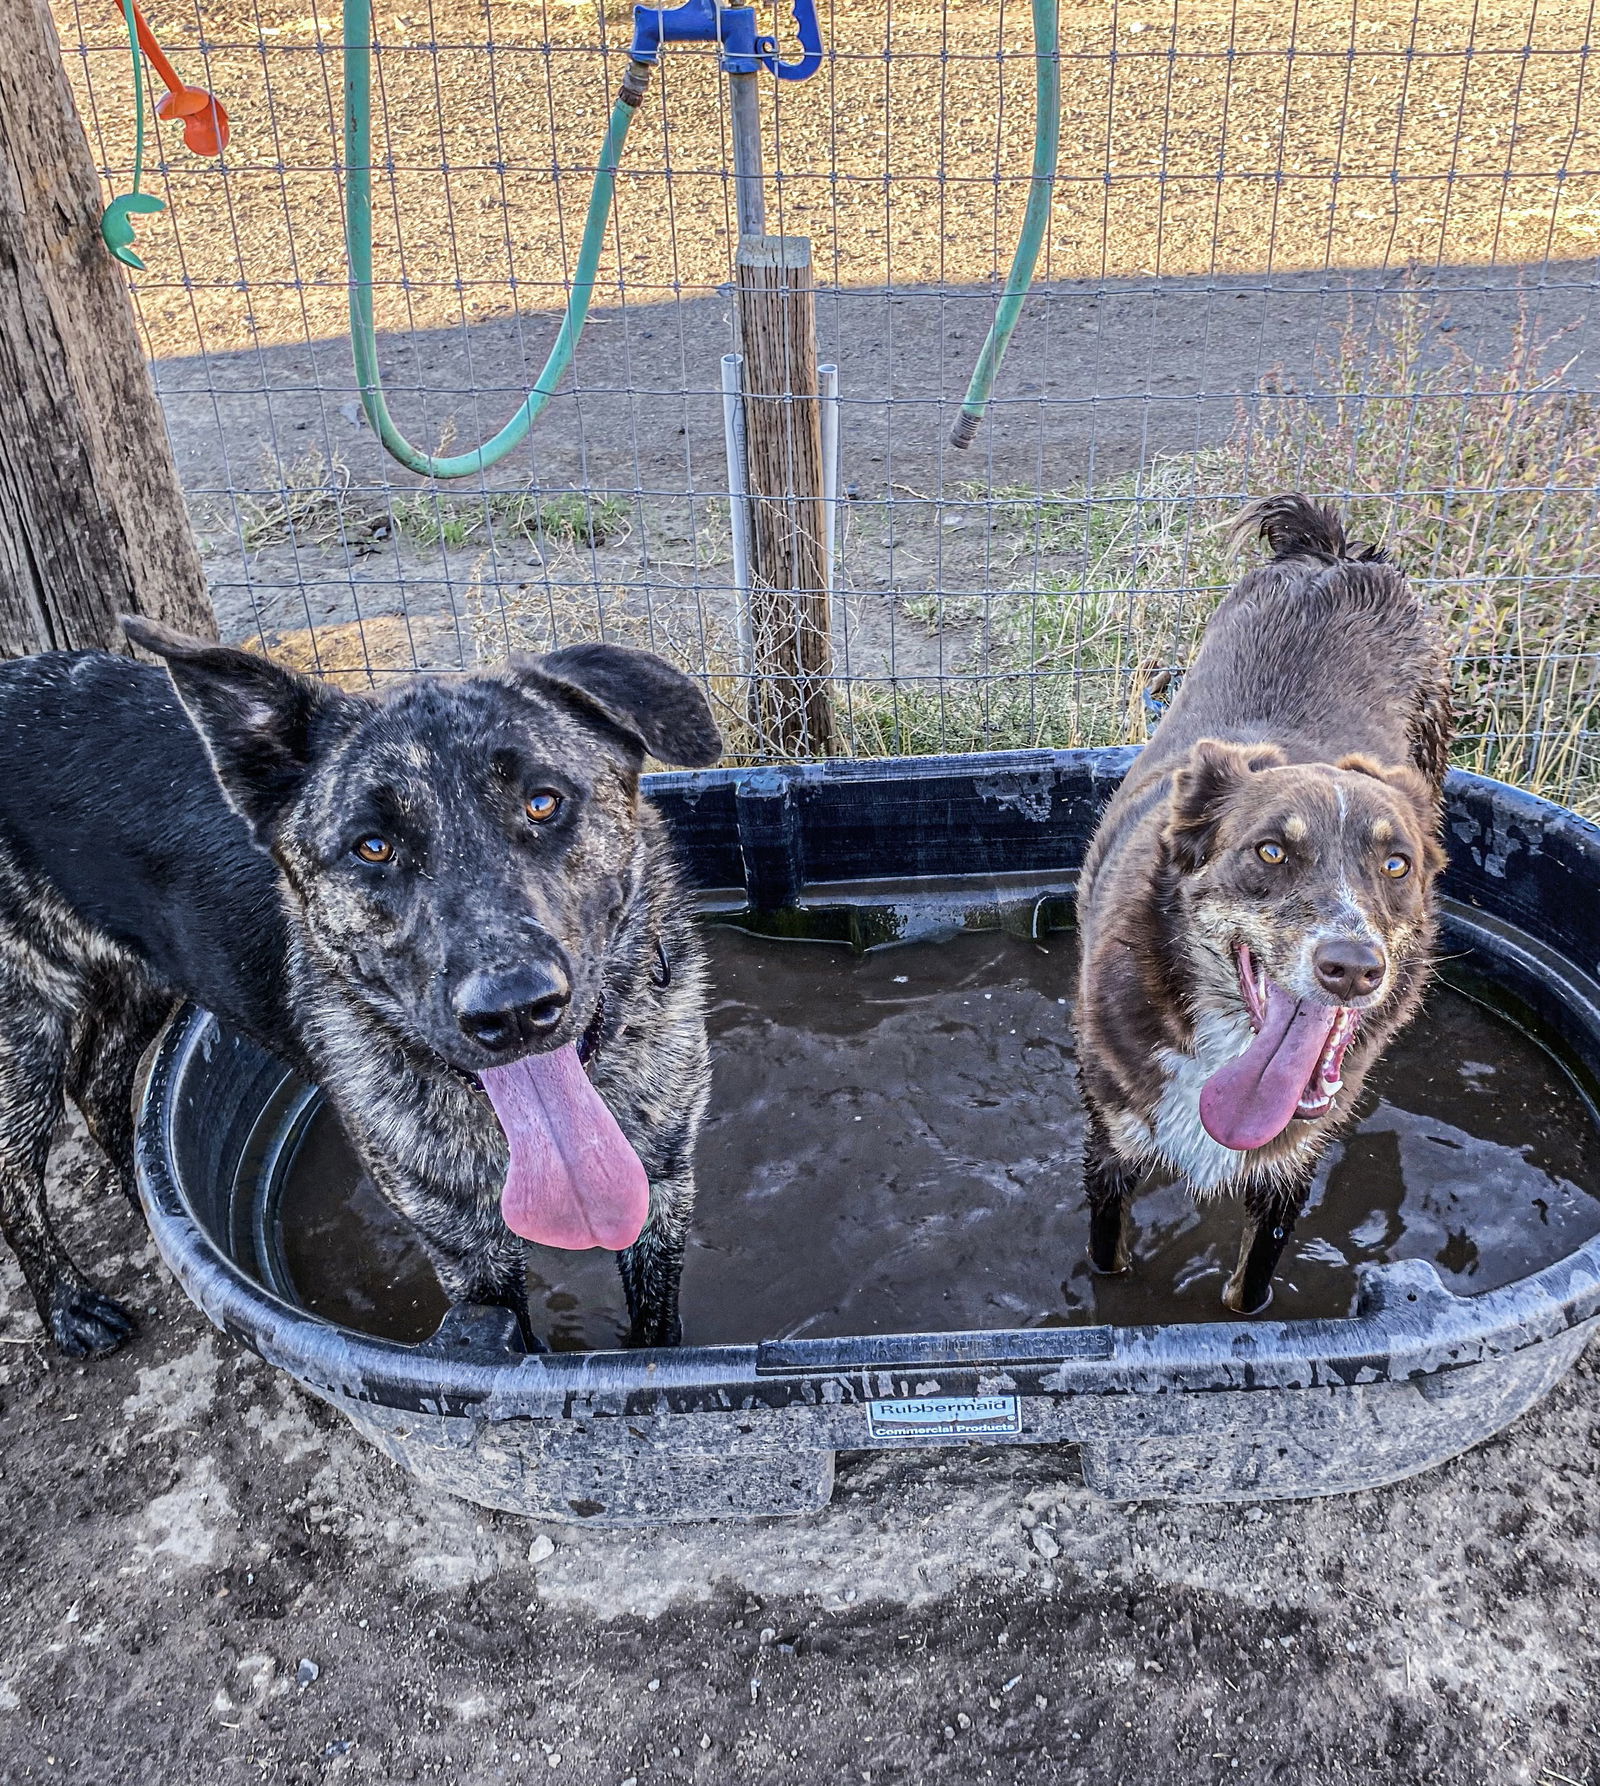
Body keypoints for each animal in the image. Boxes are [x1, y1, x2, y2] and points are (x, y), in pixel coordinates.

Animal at [0, 617, 717, 1350]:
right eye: (372, 847)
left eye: (542, 803)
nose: (513, 1012)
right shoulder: (470, 1255)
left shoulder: (663, 1188)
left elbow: (657, 1327)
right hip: (23, 1031)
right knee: (16, 1171)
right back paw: (68, 1306)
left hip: (141, 978)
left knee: (98, 1084)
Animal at [1071, 492, 1457, 1314]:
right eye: (1270, 852)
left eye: (1396, 865)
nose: (1353, 967)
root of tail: (1335, 556)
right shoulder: (1110, 1148)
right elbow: (1108, 1259)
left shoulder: (1286, 1171)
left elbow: (1250, 1290)